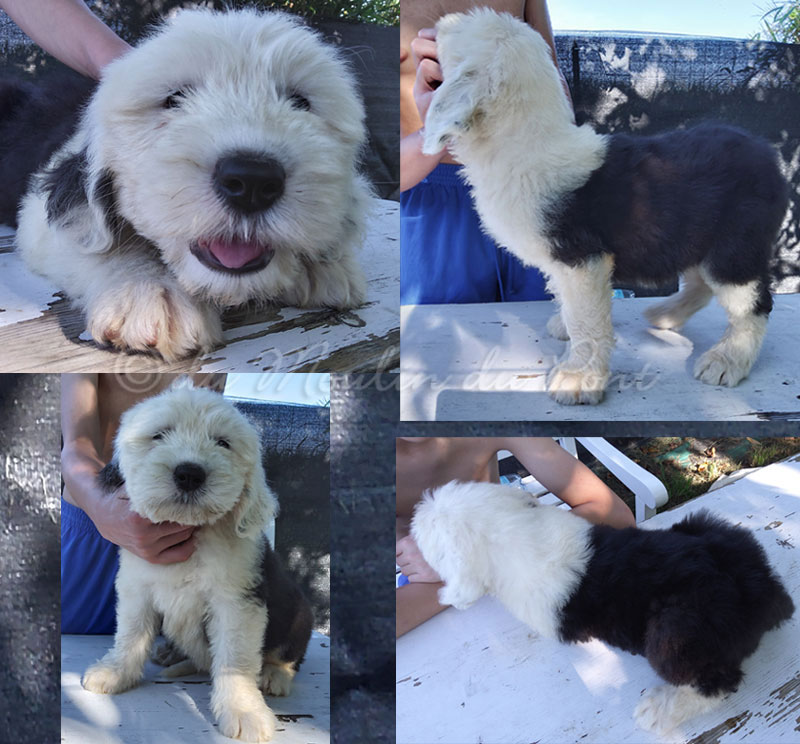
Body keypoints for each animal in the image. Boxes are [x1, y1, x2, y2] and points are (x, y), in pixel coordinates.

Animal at [7, 8, 370, 360]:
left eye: (300, 102)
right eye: (174, 98)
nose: (251, 180)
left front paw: (323, 262)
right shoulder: (40, 218)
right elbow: (98, 243)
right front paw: (150, 290)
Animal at [83, 380, 314, 740]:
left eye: (223, 442)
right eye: (159, 434)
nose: (189, 474)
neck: (192, 530)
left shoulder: (237, 603)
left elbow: (235, 660)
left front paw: (243, 710)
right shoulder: (137, 588)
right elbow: (131, 634)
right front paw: (116, 672)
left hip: (299, 613)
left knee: (289, 654)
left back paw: (274, 675)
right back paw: (170, 652)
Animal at [412, 482, 792, 732]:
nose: (417, 514)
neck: (512, 531)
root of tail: (762, 588)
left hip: (674, 629)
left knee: (718, 681)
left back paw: (659, 709)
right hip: (704, 524)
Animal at [422, 8, 792, 404]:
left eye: (459, 32)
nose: (437, 25)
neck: (525, 141)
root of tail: (764, 151)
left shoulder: (582, 259)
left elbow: (586, 320)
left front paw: (578, 377)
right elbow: (569, 305)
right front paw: (564, 328)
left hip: (735, 245)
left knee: (753, 304)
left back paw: (727, 359)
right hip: (693, 233)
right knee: (700, 283)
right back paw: (665, 314)